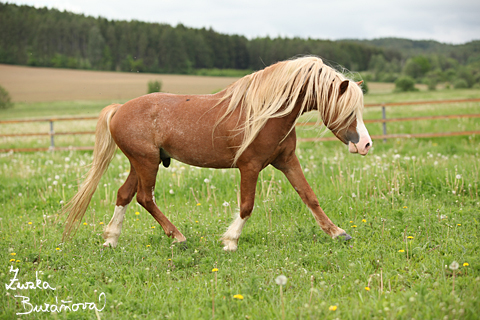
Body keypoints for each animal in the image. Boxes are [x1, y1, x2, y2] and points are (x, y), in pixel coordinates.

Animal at [62, 56, 374, 251]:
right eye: (348, 111)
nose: (366, 145)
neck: (267, 113)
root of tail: (119, 109)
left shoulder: (286, 161)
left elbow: (309, 196)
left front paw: (338, 232)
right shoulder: (250, 166)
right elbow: (247, 205)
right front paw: (230, 241)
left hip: (139, 163)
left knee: (124, 195)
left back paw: (111, 240)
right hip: (146, 162)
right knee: (144, 198)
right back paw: (178, 237)